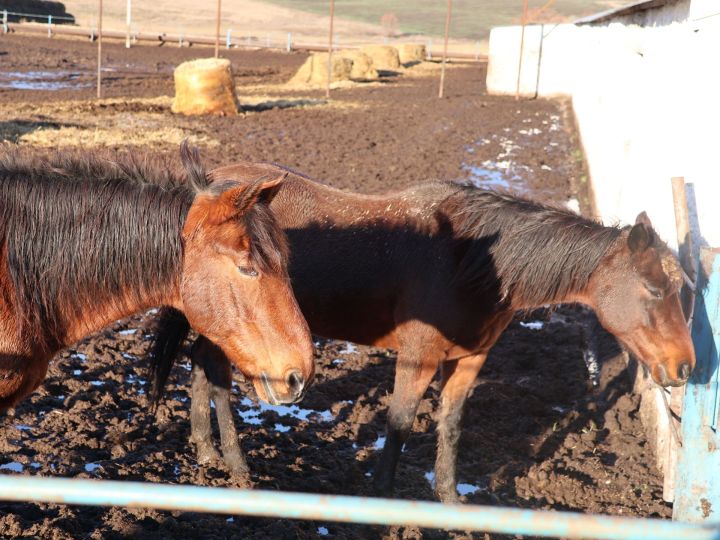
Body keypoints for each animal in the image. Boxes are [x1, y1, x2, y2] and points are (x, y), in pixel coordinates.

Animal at [149, 161, 696, 502]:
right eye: (653, 289)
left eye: (683, 289)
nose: (684, 367)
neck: (471, 265)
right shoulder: (419, 357)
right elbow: (400, 422)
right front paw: (383, 497)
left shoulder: (470, 360)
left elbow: (450, 426)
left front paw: (448, 496)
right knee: (216, 375)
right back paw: (235, 462)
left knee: (202, 367)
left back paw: (206, 450)